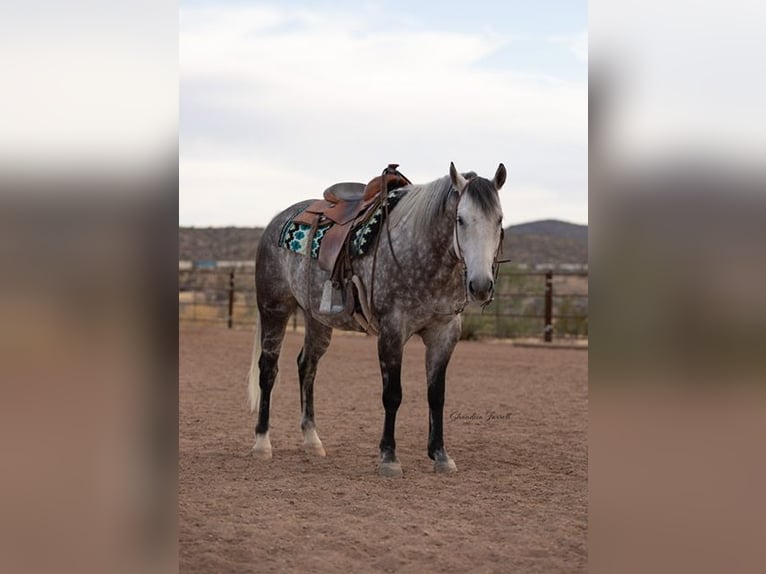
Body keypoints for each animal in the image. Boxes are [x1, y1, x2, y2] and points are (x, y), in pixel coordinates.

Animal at [247, 162, 507, 477]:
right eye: (460, 219)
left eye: (499, 220)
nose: (480, 286)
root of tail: (275, 221)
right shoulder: (392, 332)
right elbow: (392, 394)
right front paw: (389, 457)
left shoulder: (444, 334)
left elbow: (437, 395)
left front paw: (441, 455)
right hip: (274, 309)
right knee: (268, 370)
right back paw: (262, 443)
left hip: (317, 318)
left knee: (306, 367)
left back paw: (312, 440)